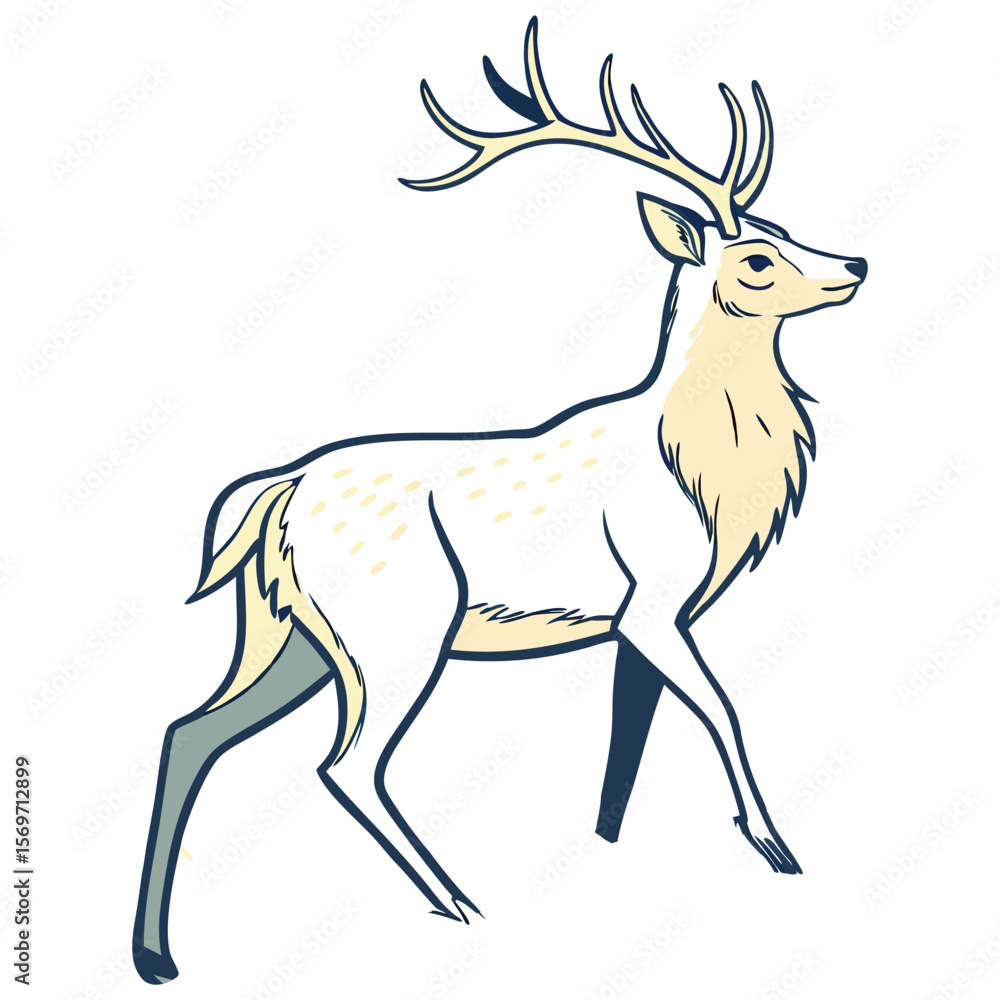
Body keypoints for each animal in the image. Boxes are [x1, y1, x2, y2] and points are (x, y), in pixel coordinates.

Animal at [133, 18, 867, 984]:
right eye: (755, 257)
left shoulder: (636, 621)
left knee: (192, 730)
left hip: (288, 630)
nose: (856, 261)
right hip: (398, 624)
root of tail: (276, 493)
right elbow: (723, 708)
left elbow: (631, 736)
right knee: (345, 763)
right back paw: (458, 903)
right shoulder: (656, 600)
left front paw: (611, 848)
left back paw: (157, 957)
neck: (701, 470)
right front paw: (778, 848)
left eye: (784, 227)